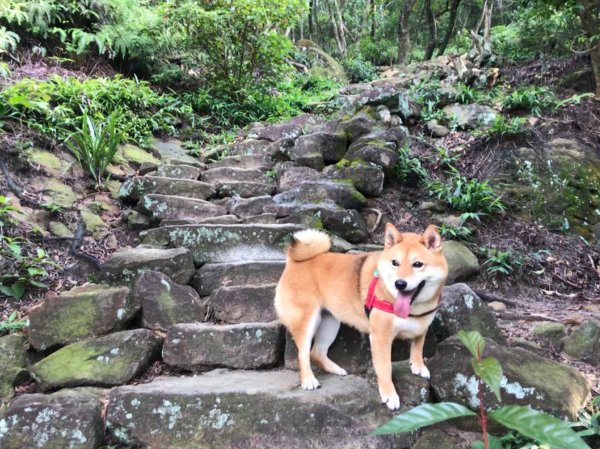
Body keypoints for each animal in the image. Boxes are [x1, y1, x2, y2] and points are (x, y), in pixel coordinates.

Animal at [274, 222, 448, 408]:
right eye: (395, 263)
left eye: (417, 264)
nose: (399, 283)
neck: (413, 308)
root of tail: (293, 261)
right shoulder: (380, 337)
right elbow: (385, 368)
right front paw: (389, 395)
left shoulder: (421, 326)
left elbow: (418, 346)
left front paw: (418, 366)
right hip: (307, 321)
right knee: (303, 354)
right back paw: (308, 380)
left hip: (330, 323)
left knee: (316, 353)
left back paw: (336, 369)